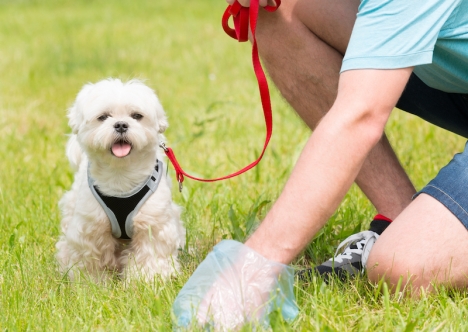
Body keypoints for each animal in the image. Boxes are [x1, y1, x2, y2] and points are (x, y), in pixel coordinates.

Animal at [55, 78, 185, 282]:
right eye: (103, 117)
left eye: (137, 116)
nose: (121, 124)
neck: (120, 175)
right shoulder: (91, 226)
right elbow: (91, 257)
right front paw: (92, 282)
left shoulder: (153, 223)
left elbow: (150, 253)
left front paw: (147, 280)